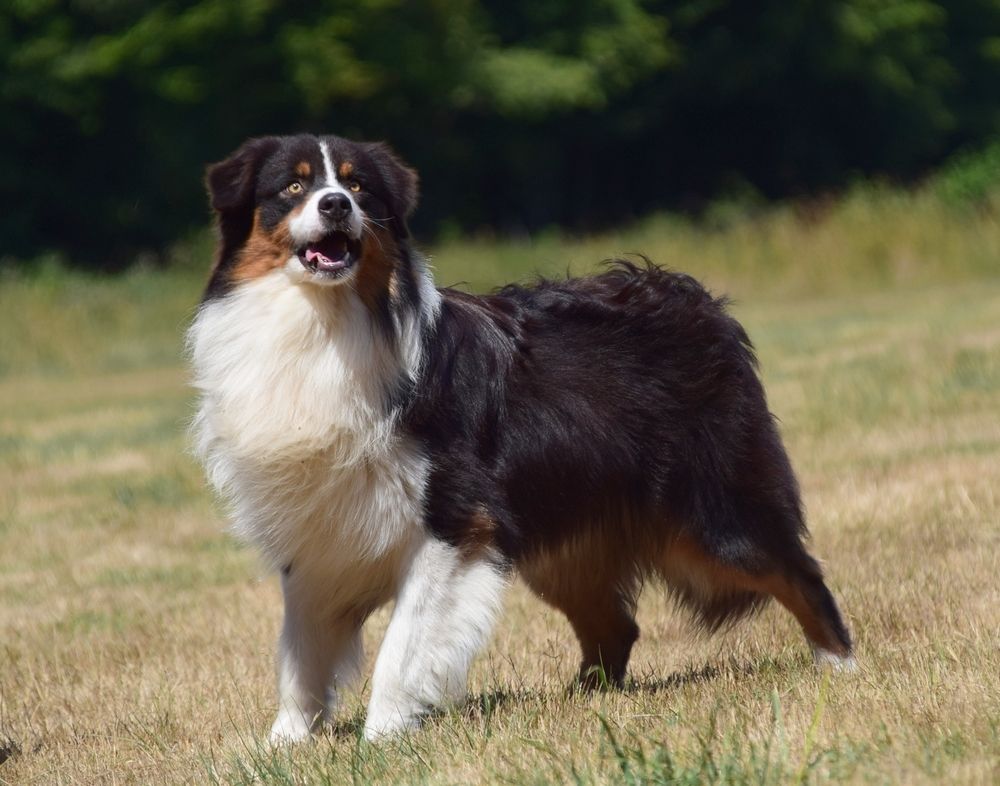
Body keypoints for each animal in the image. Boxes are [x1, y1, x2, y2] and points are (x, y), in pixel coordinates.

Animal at [187, 133, 854, 743]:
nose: (334, 205)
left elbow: (402, 644)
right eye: (292, 187)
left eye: (358, 187)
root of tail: (695, 298)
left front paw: (382, 735)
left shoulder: (454, 522)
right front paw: (284, 743)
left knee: (799, 573)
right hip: (564, 540)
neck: (323, 322)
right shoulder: (315, 533)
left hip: (712, 516)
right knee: (615, 626)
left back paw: (839, 667)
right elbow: (301, 654)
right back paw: (581, 702)